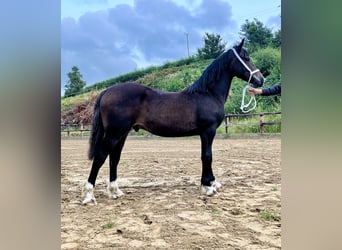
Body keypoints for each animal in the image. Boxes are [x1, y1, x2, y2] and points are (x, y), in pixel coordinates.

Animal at [83, 38, 264, 204]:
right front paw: (208, 187)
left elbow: (207, 155)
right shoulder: (208, 131)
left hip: (122, 134)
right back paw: (89, 195)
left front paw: (212, 182)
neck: (208, 94)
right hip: (114, 133)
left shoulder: (206, 132)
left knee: (114, 158)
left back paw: (115, 191)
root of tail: (107, 91)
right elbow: (207, 156)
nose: (261, 80)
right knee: (100, 157)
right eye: (246, 58)